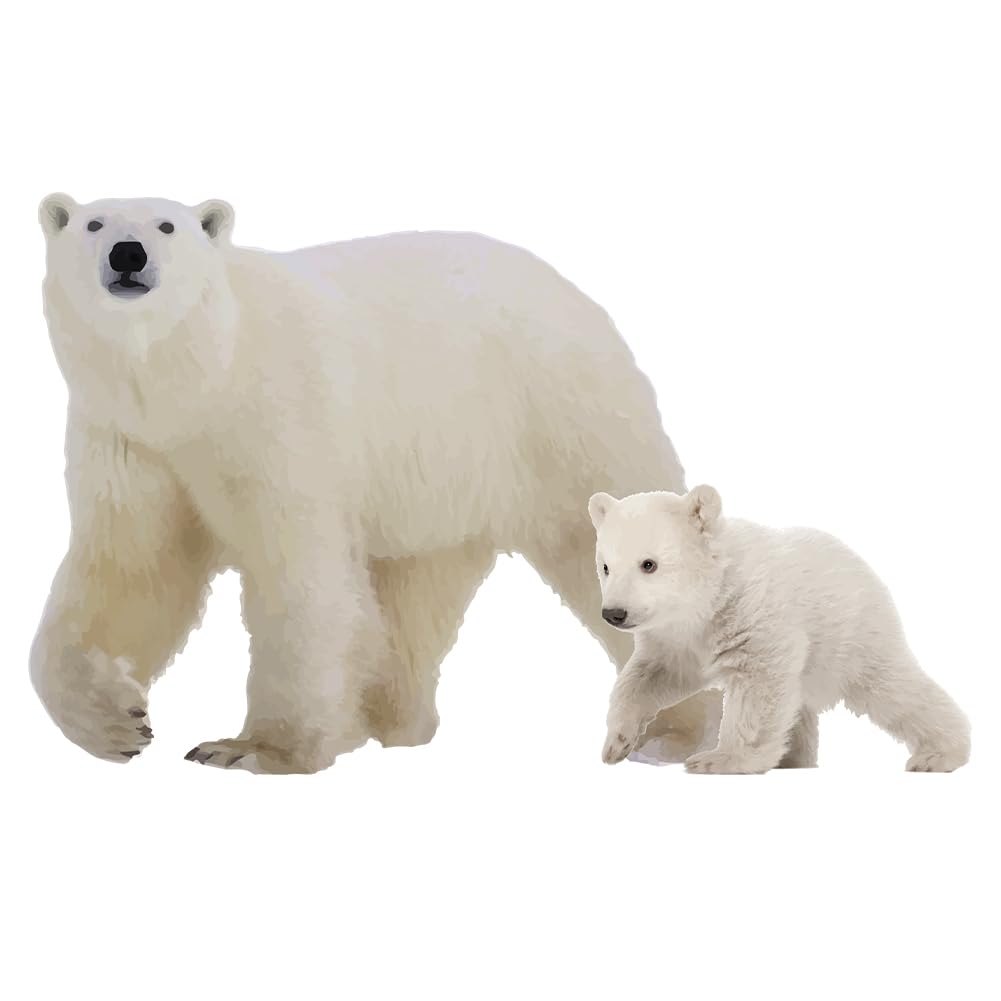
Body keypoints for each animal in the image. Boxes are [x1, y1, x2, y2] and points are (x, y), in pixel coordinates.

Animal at [31, 193, 721, 774]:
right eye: (93, 223)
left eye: (168, 225)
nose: (127, 254)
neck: (202, 379)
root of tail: (578, 292)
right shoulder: (133, 441)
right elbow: (132, 569)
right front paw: (117, 723)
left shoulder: (277, 420)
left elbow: (299, 575)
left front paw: (254, 749)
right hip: (443, 478)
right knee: (412, 594)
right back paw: (390, 718)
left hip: (553, 413)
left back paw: (667, 735)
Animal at [588, 486, 971, 774]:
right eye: (606, 566)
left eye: (648, 564)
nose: (614, 613)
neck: (709, 597)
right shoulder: (676, 638)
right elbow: (651, 677)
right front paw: (616, 742)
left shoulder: (751, 613)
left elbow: (757, 685)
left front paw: (720, 760)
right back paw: (794, 759)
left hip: (850, 634)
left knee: (892, 689)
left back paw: (939, 754)